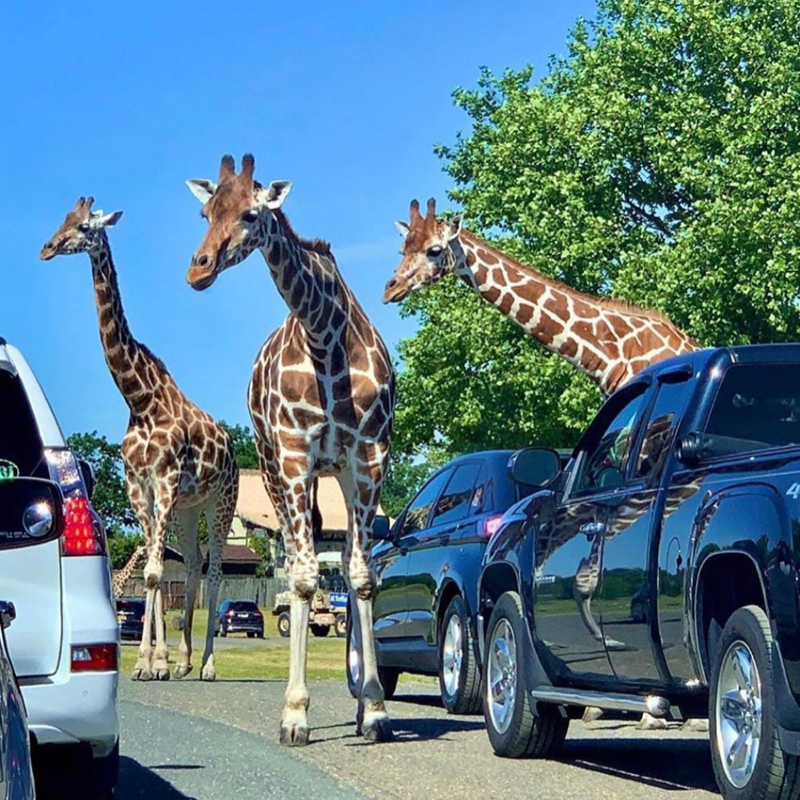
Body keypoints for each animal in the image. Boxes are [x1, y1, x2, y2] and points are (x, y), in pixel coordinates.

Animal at [40, 198, 239, 680]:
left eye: (84, 226)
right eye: (63, 219)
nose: (47, 248)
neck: (139, 398)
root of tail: (232, 448)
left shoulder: (164, 480)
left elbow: (150, 572)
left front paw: (153, 664)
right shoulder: (139, 486)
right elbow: (155, 569)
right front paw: (153, 663)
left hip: (221, 501)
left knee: (215, 571)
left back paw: (207, 665)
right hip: (189, 509)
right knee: (192, 565)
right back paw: (185, 661)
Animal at [182, 155, 394, 744]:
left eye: (251, 214)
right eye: (206, 213)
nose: (198, 270)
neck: (325, 336)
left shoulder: (368, 459)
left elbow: (361, 575)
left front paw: (374, 709)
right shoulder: (296, 458)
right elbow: (300, 576)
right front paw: (295, 714)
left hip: (331, 474)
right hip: (272, 466)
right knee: (299, 559)